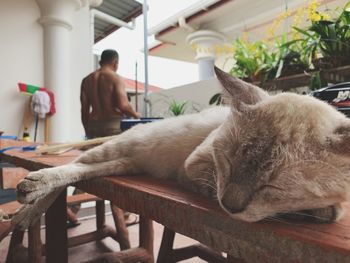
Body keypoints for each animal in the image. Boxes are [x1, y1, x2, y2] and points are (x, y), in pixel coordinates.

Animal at [12, 67, 348, 230]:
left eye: (273, 187)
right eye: (227, 162)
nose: (230, 208)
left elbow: (328, 212)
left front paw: (313, 211)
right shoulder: (198, 167)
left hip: (123, 163)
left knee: (84, 172)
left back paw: (26, 210)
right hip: (115, 150)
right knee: (68, 168)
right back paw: (28, 198)